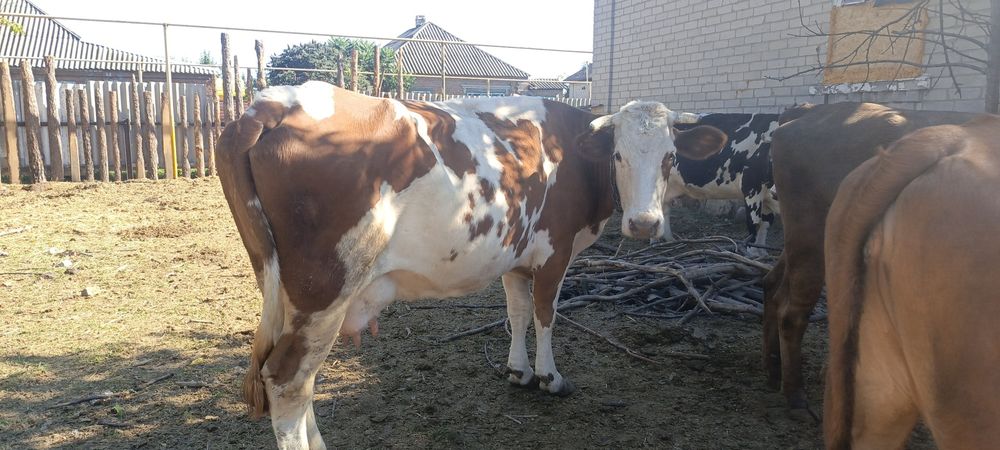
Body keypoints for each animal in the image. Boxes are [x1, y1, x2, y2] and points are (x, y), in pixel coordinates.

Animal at [215, 81, 727, 449]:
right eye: (619, 154)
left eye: (671, 157)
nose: (644, 223)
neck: (574, 153)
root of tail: (271, 104)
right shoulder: (555, 250)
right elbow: (546, 314)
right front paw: (550, 377)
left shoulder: (516, 254)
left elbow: (518, 313)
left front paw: (519, 371)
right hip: (324, 288)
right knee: (287, 382)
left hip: (286, 293)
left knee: (300, 382)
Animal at [667, 113, 780, 253]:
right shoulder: (751, 188)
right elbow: (754, 222)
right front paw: (753, 252)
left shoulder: (766, 198)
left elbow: (765, 224)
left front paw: (762, 252)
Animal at [761, 102, 980, 415]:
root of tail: (811, 111)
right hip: (810, 236)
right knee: (792, 313)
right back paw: (795, 394)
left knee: (773, 286)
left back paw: (774, 369)